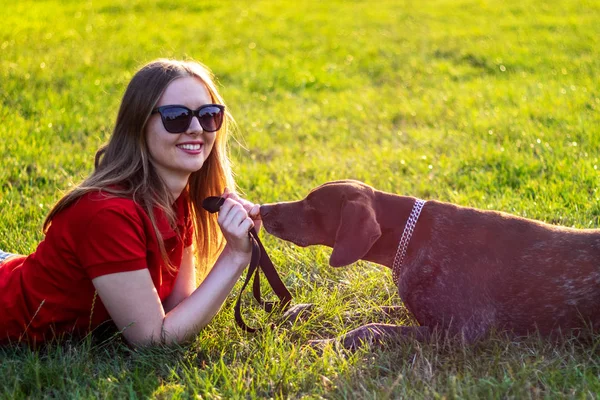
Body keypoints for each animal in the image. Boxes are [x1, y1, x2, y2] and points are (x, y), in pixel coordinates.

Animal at [260, 179, 600, 346]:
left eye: (311, 204)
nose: (263, 208)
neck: (412, 237)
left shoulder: (459, 331)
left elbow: (370, 328)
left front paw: (324, 342)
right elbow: (368, 312)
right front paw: (303, 313)